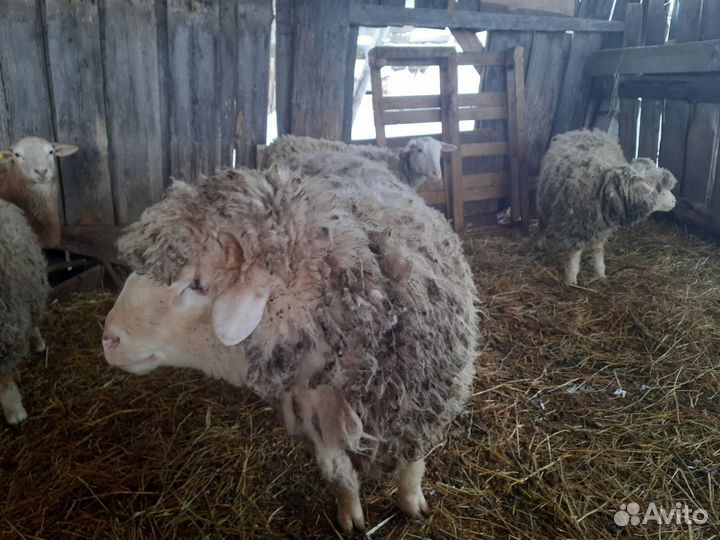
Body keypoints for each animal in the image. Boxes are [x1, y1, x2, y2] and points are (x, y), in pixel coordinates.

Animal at [102, 163, 479, 532]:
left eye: (196, 285)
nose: (108, 339)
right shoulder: (316, 410)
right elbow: (339, 472)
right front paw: (350, 518)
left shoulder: (423, 403)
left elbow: (413, 463)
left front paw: (412, 504)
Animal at [536, 128, 677, 285]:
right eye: (658, 188)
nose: (674, 201)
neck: (605, 185)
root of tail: (583, 131)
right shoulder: (576, 227)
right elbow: (574, 256)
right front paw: (572, 281)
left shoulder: (601, 227)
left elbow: (598, 251)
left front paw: (600, 274)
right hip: (544, 198)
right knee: (542, 221)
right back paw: (540, 243)